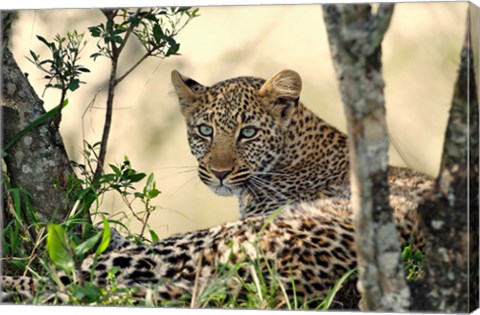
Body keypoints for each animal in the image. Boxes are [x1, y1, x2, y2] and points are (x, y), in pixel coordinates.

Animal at [0, 69, 436, 312]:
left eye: (248, 133)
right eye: (205, 131)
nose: (220, 173)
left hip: (209, 241)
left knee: (73, 277)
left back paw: (17, 284)